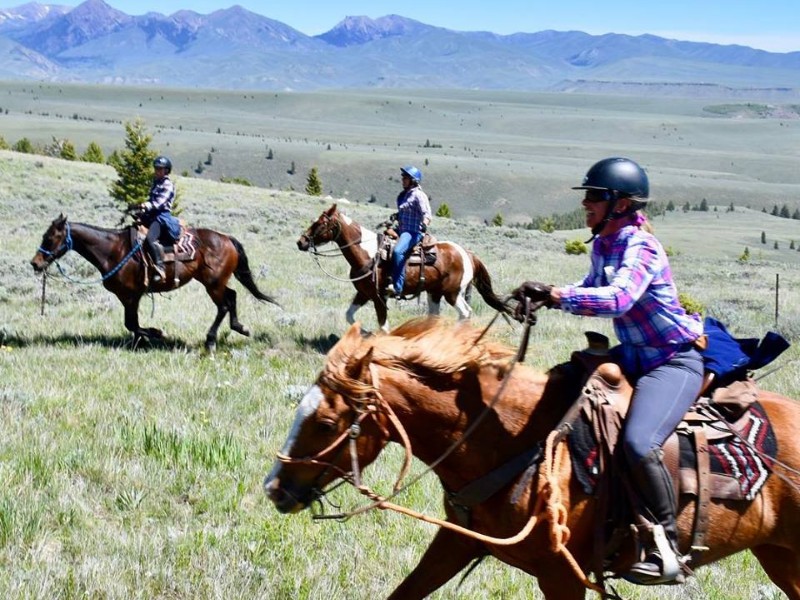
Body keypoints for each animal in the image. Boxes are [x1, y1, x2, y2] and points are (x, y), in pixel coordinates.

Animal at [30, 214, 282, 352]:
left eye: (50, 238)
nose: (35, 263)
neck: (113, 250)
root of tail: (227, 239)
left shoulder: (131, 295)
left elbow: (132, 324)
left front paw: (158, 333)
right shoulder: (129, 297)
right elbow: (132, 324)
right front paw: (141, 341)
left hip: (213, 284)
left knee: (223, 305)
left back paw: (211, 341)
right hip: (213, 282)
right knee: (232, 297)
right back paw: (240, 327)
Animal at [266, 318, 800, 600]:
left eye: (327, 424)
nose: (275, 488)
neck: (514, 442)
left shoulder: (562, 575)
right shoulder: (455, 542)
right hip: (778, 554)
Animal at [296, 204, 510, 330]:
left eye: (320, 223)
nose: (301, 242)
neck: (369, 254)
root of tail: (467, 253)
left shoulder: (379, 297)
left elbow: (383, 327)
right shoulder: (363, 294)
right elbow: (349, 316)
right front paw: (365, 334)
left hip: (452, 293)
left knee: (465, 313)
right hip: (434, 293)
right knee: (436, 316)